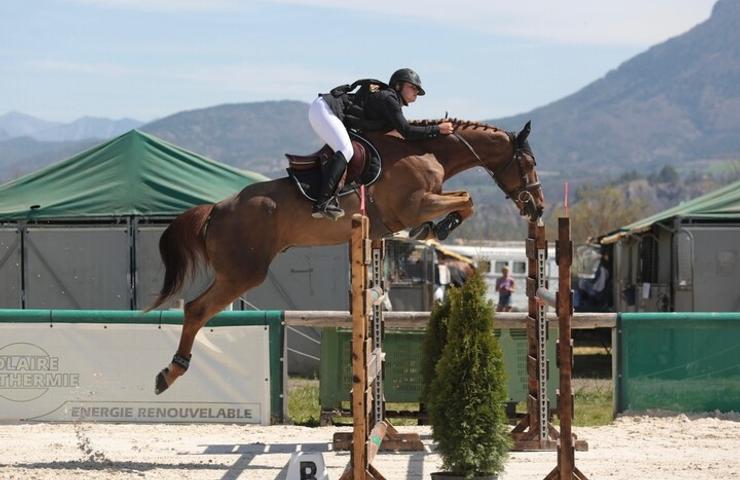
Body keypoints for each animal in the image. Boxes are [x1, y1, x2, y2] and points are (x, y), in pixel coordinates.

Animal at [149, 119, 544, 394]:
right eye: (528, 162)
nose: (537, 208)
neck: (427, 152)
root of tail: (216, 209)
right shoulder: (415, 204)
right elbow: (467, 200)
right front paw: (437, 227)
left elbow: (464, 199)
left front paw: (436, 228)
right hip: (243, 273)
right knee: (196, 309)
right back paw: (170, 372)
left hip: (235, 273)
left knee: (197, 309)